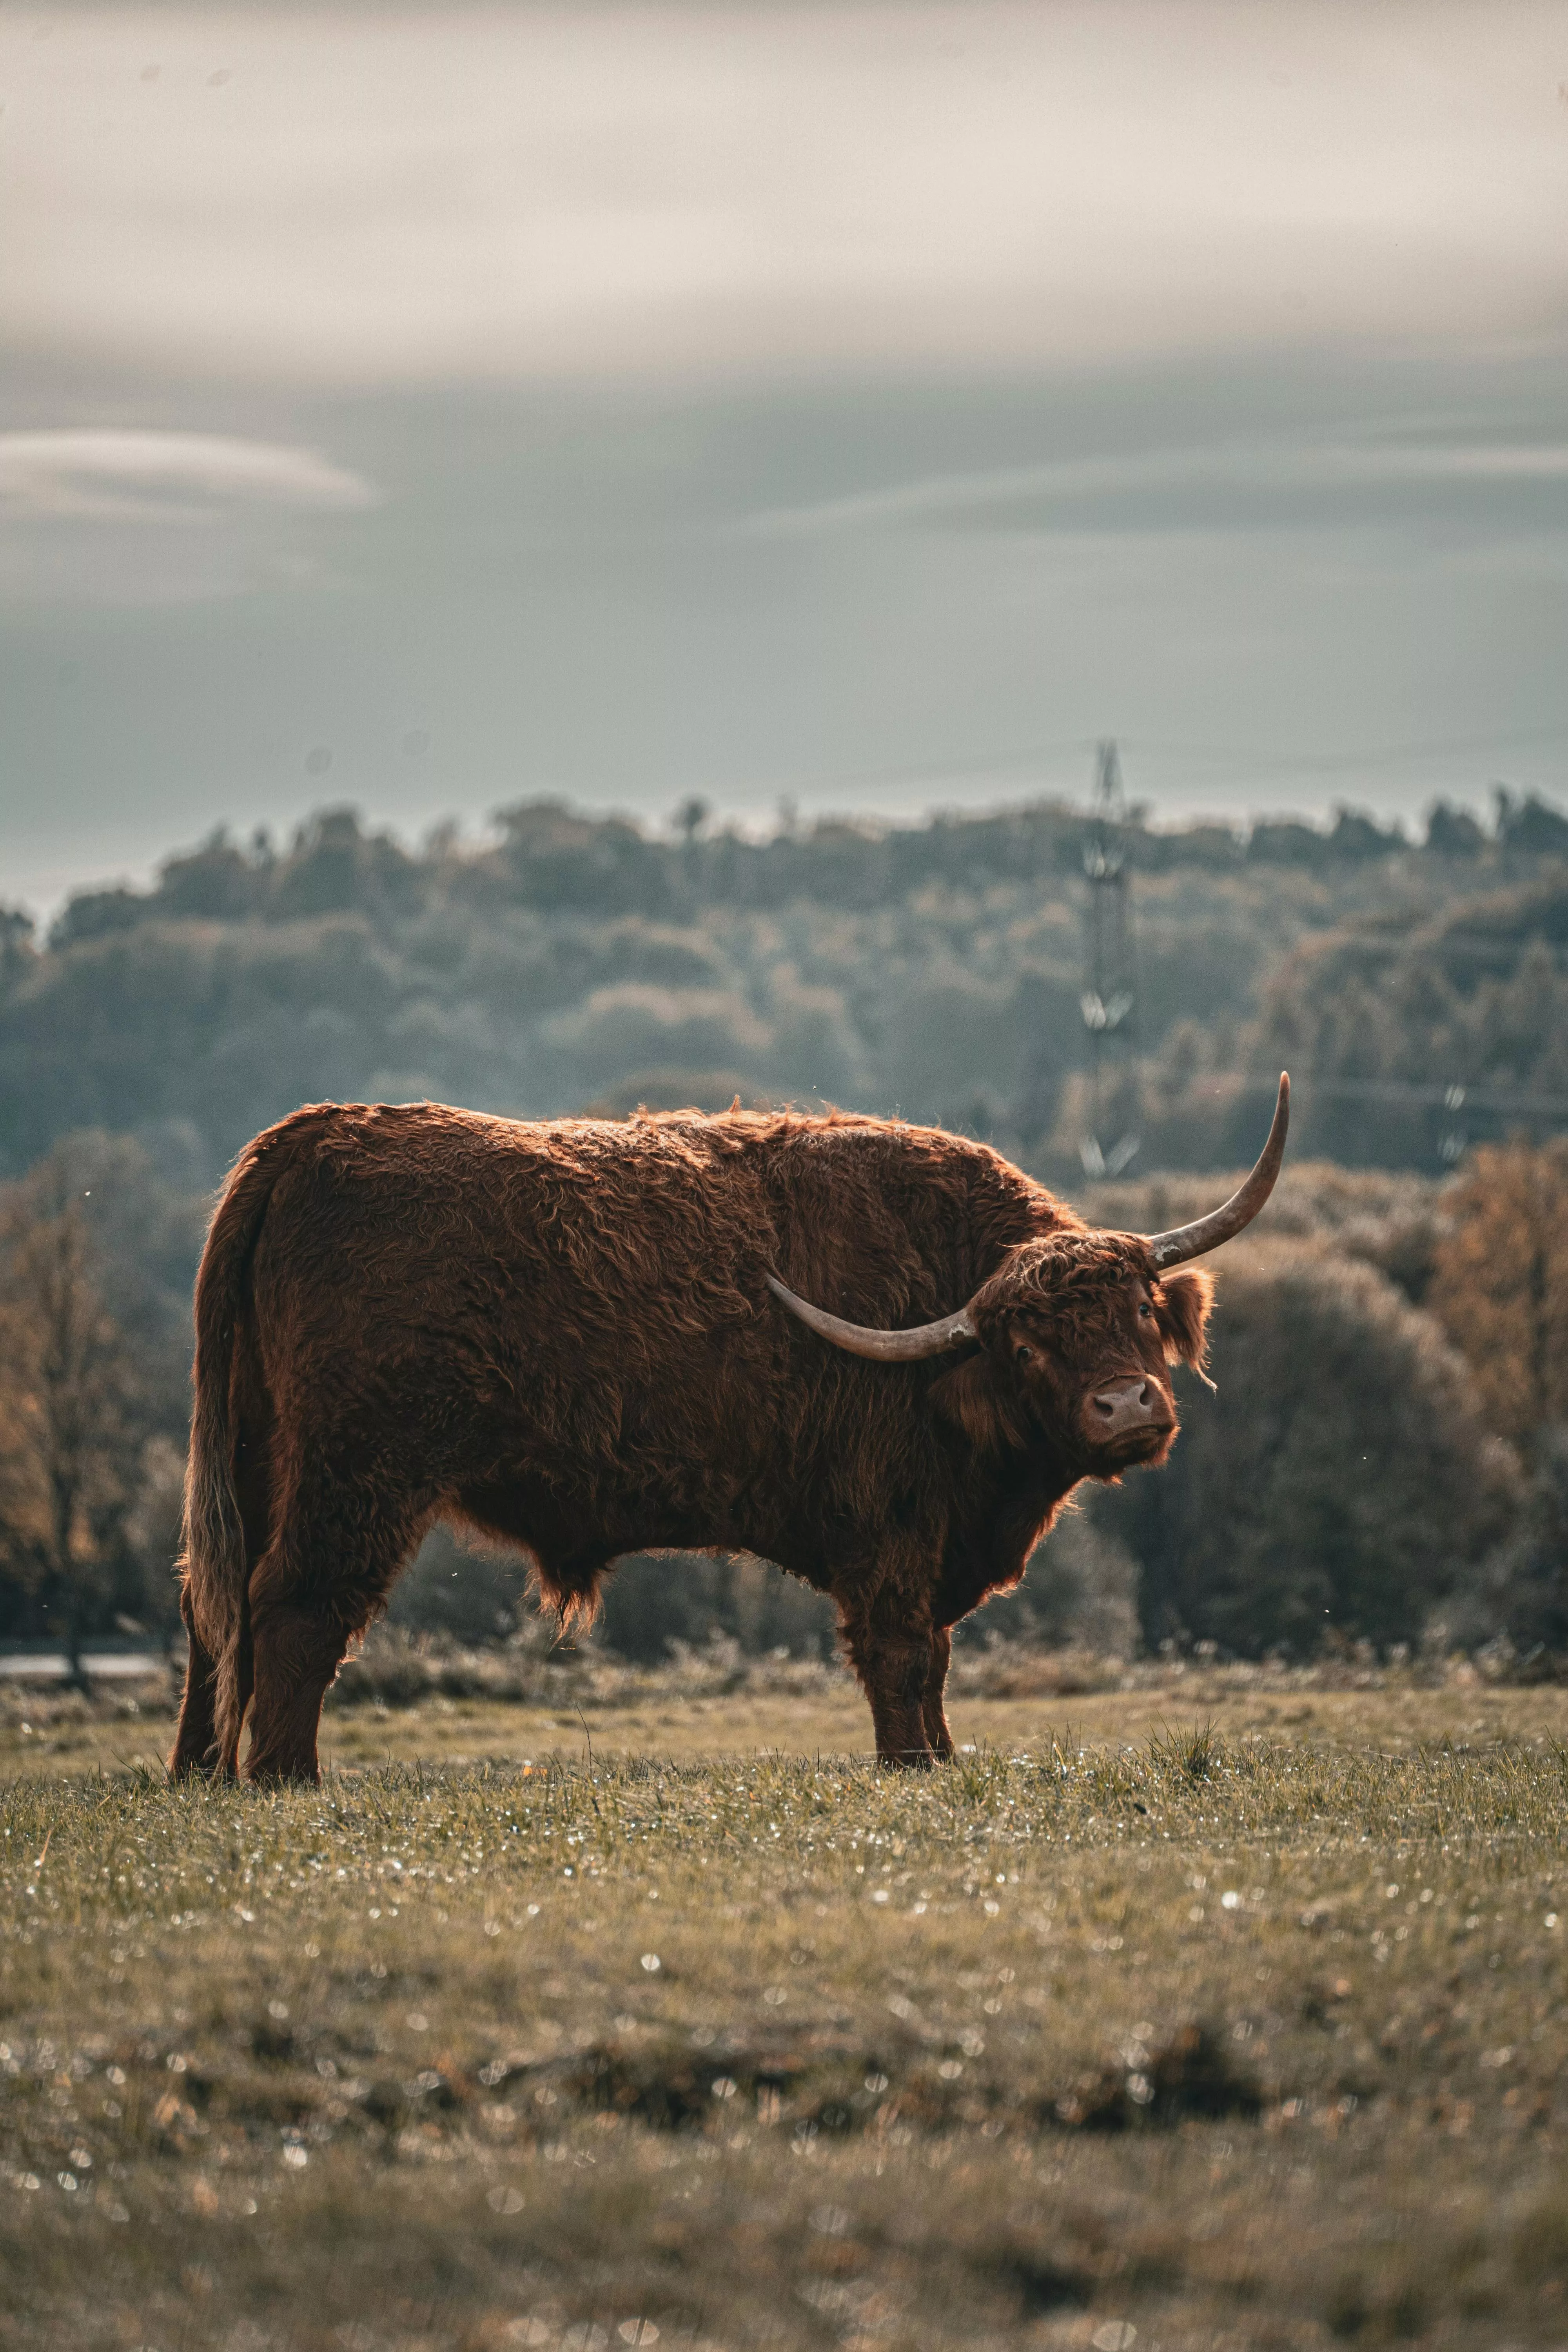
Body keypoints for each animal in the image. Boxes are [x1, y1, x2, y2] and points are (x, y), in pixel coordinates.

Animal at [171, 1075, 1289, 1782]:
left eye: (1138, 1309)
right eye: (1028, 1345)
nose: (1126, 1407)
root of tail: (310, 1138)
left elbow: (933, 1657)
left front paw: (941, 1757)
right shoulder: (889, 1534)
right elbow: (902, 1655)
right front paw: (913, 1770)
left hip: (255, 1459)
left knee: (212, 1610)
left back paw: (200, 1775)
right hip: (358, 1477)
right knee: (295, 1608)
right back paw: (286, 1780)